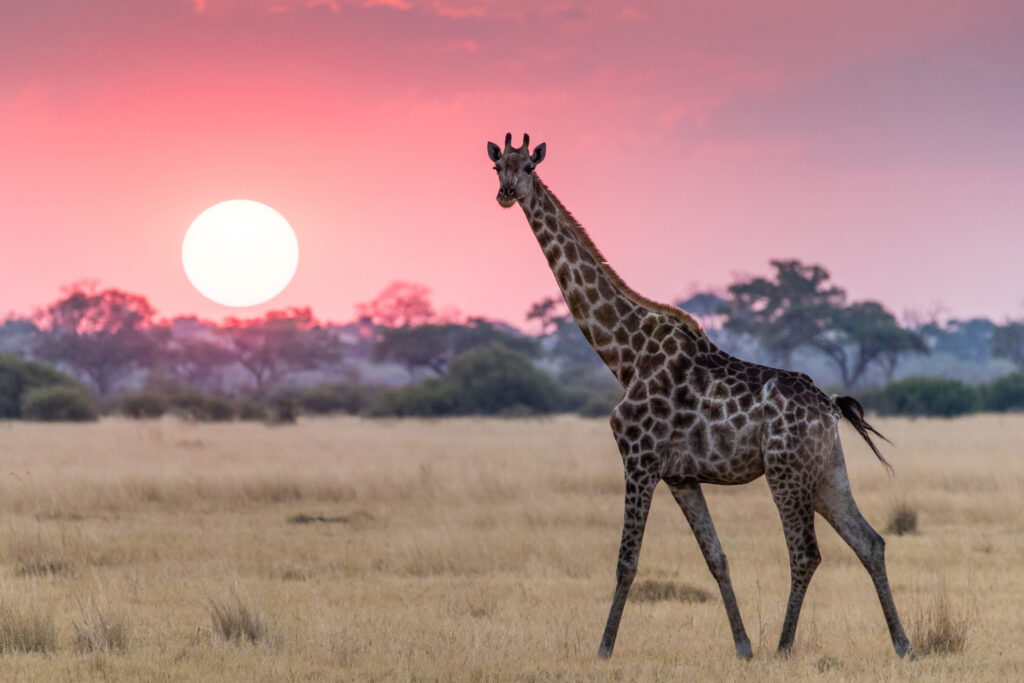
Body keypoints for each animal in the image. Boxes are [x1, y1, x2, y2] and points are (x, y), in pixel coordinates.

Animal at [486, 133, 915, 660]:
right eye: (497, 166)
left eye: (528, 166)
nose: (506, 193)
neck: (625, 354)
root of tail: (830, 407)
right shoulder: (682, 477)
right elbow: (717, 557)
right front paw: (742, 646)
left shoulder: (640, 460)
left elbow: (627, 561)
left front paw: (604, 649)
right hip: (827, 470)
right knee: (870, 541)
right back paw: (903, 645)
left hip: (786, 471)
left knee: (806, 554)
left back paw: (784, 647)